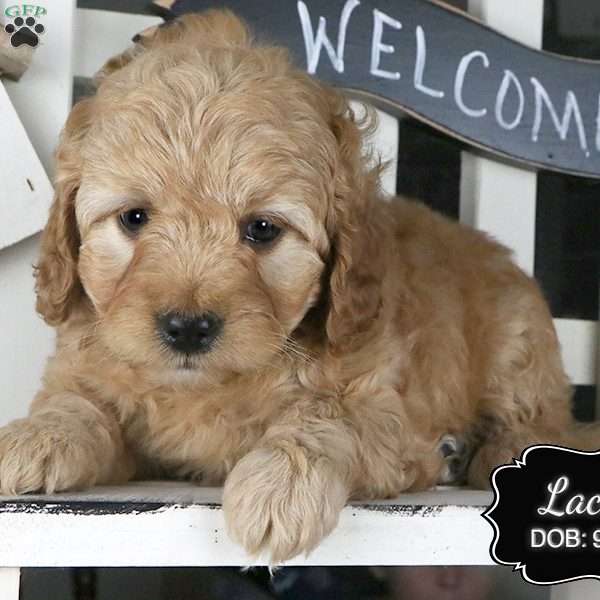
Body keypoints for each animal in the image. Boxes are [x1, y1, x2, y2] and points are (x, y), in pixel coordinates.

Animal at [0, 9, 596, 564]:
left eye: (262, 229)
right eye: (134, 217)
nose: (187, 328)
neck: (208, 387)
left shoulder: (386, 413)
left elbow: (326, 414)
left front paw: (280, 485)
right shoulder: (93, 381)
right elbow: (76, 403)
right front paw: (35, 435)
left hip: (518, 340)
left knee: (546, 418)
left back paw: (497, 450)